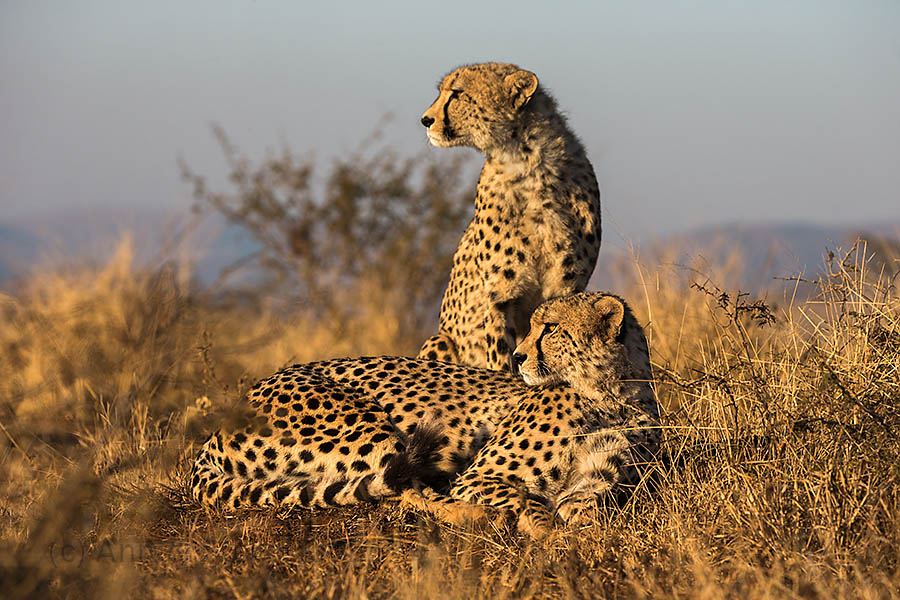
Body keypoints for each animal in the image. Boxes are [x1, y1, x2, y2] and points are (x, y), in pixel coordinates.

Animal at [189, 292, 658, 538]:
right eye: (533, 326)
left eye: (553, 328)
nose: (519, 357)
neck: (611, 393)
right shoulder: (480, 475)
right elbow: (525, 497)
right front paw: (542, 529)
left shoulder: (596, 478)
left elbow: (589, 510)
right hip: (363, 424)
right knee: (404, 489)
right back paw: (479, 517)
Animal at [417, 62, 602, 371]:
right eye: (443, 91)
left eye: (457, 93)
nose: (425, 120)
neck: (527, 165)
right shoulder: (497, 298)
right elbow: (502, 359)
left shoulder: (565, 290)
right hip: (438, 340)